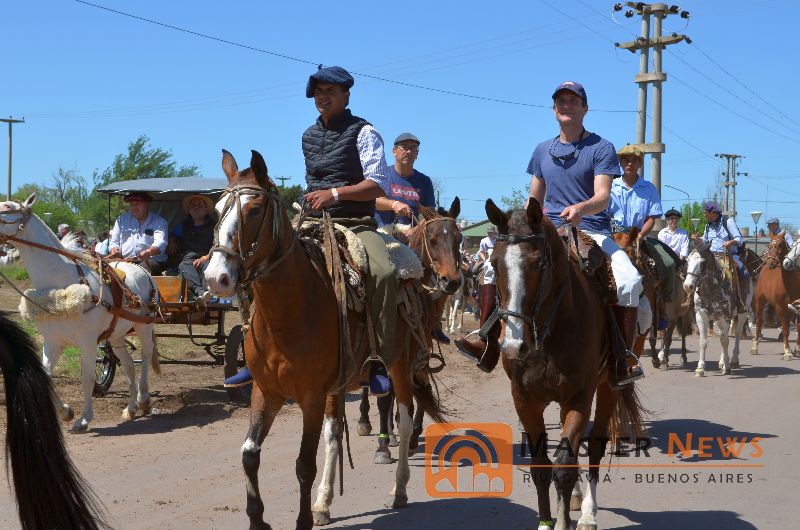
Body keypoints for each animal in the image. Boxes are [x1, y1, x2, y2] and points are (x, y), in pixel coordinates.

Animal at [0, 195, 160, 433]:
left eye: (8, 206)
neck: (60, 281)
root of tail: (142, 270)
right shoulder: (53, 341)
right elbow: (46, 376)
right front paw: (66, 412)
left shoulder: (87, 342)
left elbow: (87, 379)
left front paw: (84, 419)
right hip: (117, 335)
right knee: (130, 366)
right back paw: (130, 409)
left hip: (144, 325)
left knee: (146, 355)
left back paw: (143, 399)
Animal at [203, 149, 446, 529]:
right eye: (216, 211)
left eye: (254, 210)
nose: (217, 277)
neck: (288, 313)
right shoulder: (265, 391)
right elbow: (249, 455)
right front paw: (260, 519)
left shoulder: (311, 397)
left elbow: (304, 463)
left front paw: (302, 519)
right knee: (335, 434)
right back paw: (324, 501)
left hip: (399, 366)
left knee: (405, 422)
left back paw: (399, 489)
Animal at [486, 199, 645, 530]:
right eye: (494, 264)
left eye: (537, 264)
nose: (512, 346)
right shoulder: (525, 400)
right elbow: (541, 467)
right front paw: (548, 521)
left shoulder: (579, 398)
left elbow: (563, 466)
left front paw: (564, 521)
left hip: (608, 387)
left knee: (595, 445)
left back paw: (586, 512)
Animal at [683, 244, 752, 376]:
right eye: (688, 261)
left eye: (702, 262)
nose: (688, 285)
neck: (711, 289)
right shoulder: (701, 315)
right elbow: (703, 341)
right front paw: (700, 368)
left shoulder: (726, 317)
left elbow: (725, 341)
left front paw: (727, 367)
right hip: (717, 319)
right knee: (722, 334)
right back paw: (721, 361)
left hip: (742, 313)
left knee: (737, 334)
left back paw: (733, 360)